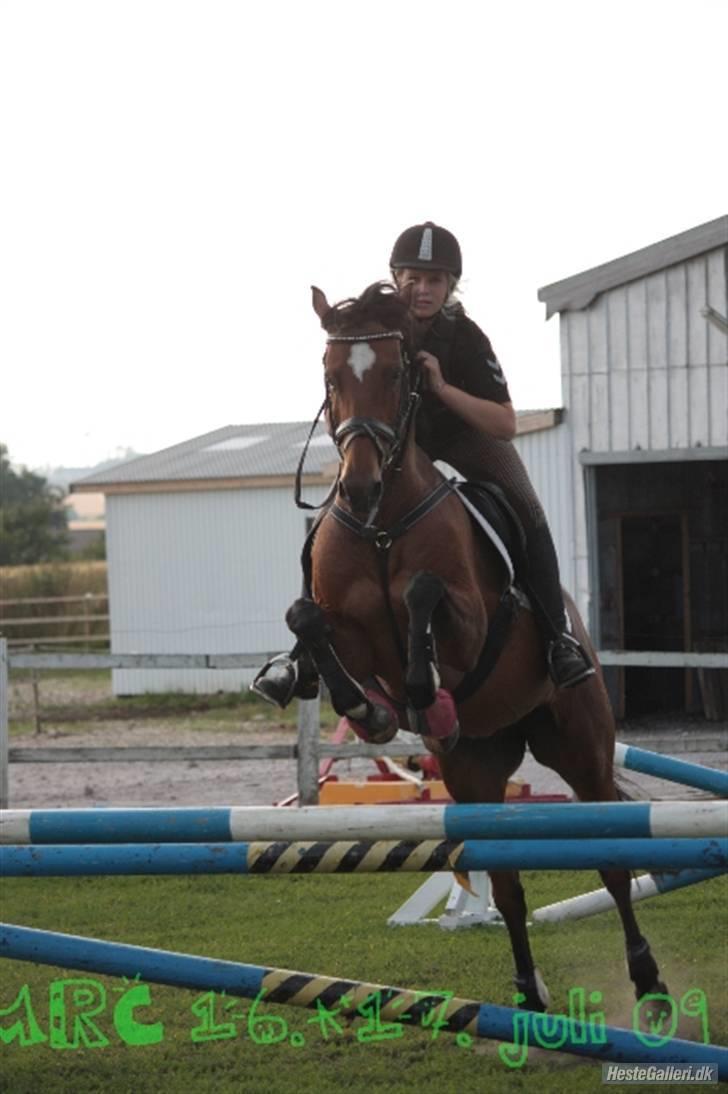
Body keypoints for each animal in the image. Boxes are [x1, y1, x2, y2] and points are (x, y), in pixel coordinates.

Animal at [282, 277, 665, 1010]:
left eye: (399, 372)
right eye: (330, 374)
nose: (360, 486)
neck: (382, 524)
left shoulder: (471, 625)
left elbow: (424, 595)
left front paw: (424, 692)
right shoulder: (347, 630)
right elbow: (307, 621)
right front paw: (371, 710)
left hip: (581, 744)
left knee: (611, 860)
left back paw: (649, 982)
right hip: (474, 771)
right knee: (508, 885)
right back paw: (528, 996)